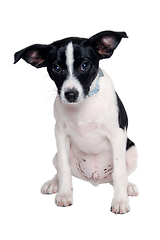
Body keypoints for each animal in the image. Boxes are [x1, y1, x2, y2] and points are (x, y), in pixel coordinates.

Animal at [14, 30, 138, 214]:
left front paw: (120, 201)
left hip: (132, 151)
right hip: (57, 155)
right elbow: (64, 169)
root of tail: (95, 179)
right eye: (56, 68)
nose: (70, 94)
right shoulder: (60, 133)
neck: (84, 105)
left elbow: (120, 172)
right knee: (60, 168)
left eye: (85, 65)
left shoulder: (117, 135)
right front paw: (64, 194)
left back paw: (128, 187)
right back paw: (54, 183)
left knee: (118, 176)